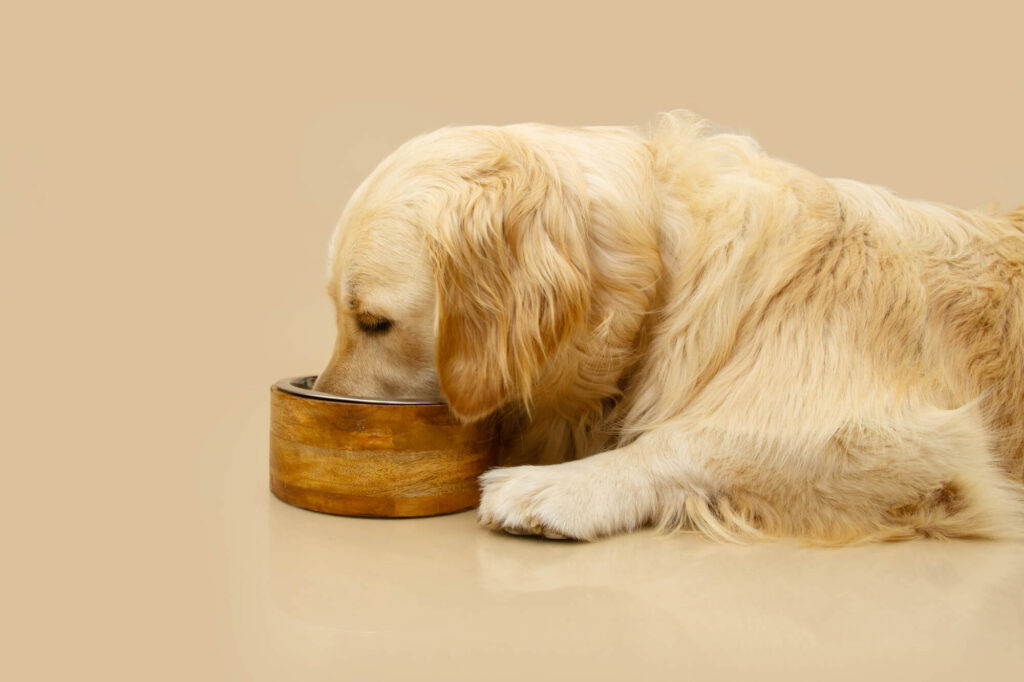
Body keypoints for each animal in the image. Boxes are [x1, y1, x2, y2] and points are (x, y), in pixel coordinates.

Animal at [311, 112, 1024, 540]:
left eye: (373, 322)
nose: (325, 404)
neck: (667, 271)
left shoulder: (917, 439)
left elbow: (691, 437)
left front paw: (562, 485)